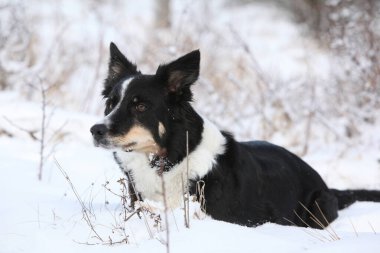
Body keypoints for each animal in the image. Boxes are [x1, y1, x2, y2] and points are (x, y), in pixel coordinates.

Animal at [91, 42, 380, 228]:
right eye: (110, 104)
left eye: (140, 106)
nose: (95, 130)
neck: (173, 157)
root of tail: (329, 187)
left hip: (317, 208)